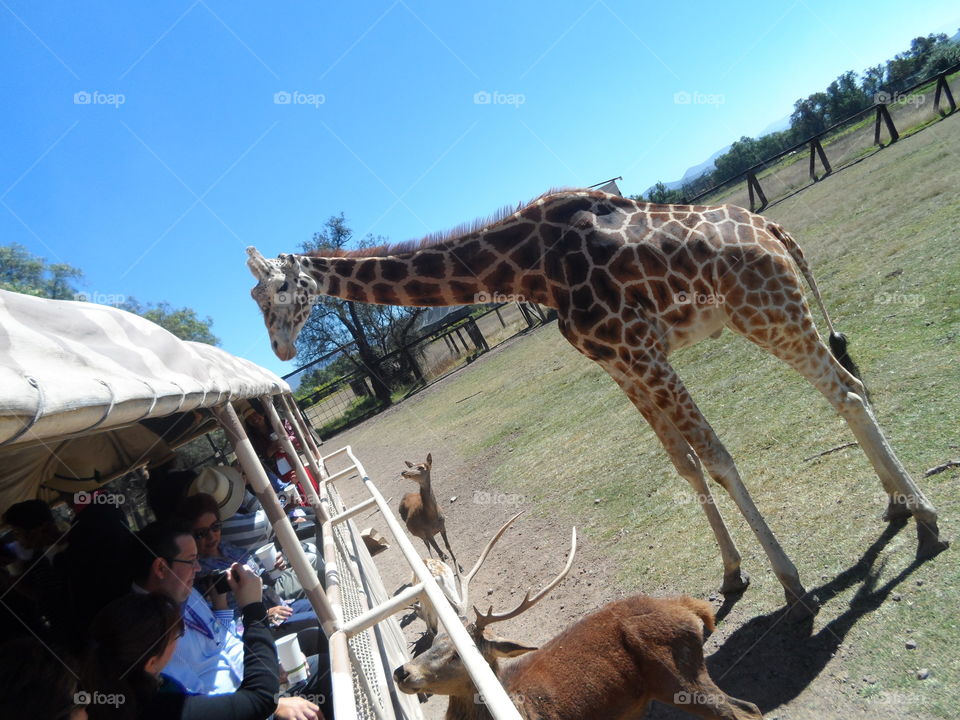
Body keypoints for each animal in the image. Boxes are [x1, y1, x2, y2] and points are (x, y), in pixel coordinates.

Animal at [246, 189, 948, 615]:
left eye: (279, 289)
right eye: (256, 300)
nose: (280, 348)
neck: (528, 268)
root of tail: (772, 226)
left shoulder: (640, 351)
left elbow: (717, 459)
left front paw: (791, 581)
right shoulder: (621, 364)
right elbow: (686, 466)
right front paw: (731, 574)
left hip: (765, 310)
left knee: (847, 390)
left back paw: (928, 517)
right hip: (772, 312)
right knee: (849, 389)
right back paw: (898, 505)